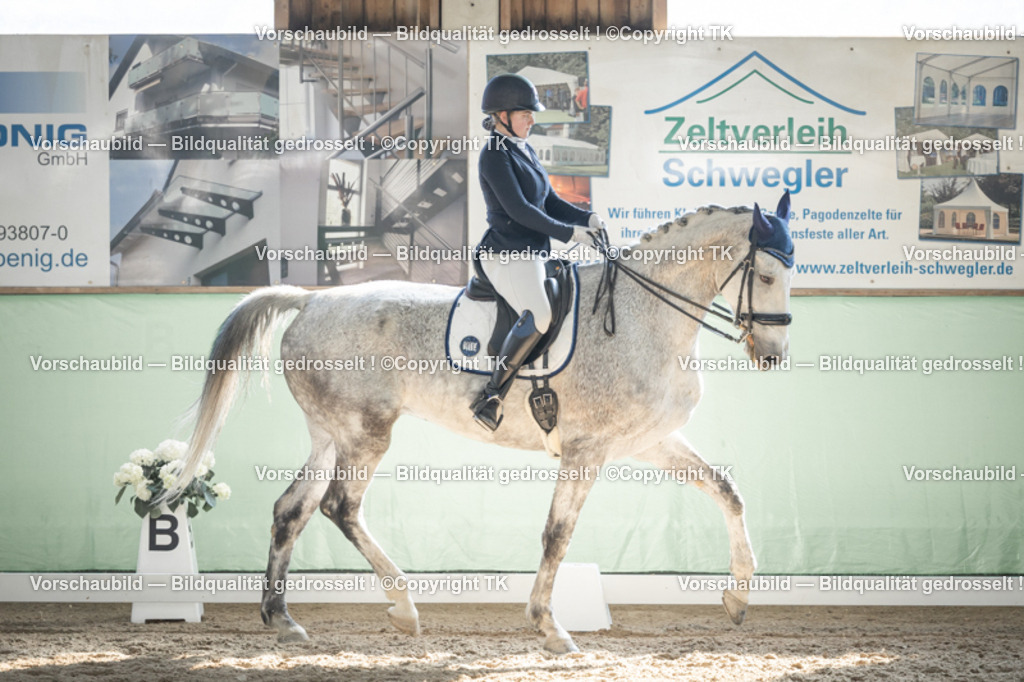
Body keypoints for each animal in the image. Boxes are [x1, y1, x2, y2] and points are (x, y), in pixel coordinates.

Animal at [164, 192, 795, 655]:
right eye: (765, 276)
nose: (773, 355)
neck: (644, 318)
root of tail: (312, 300)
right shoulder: (586, 448)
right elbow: (557, 534)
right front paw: (549, 627)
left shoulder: (649, 441)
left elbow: (726, 490)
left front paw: (738, 598)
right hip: (365, 433)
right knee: (340, 507)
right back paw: (402, 605)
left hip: (330, 434)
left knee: (291, 510)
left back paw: (282, 619)